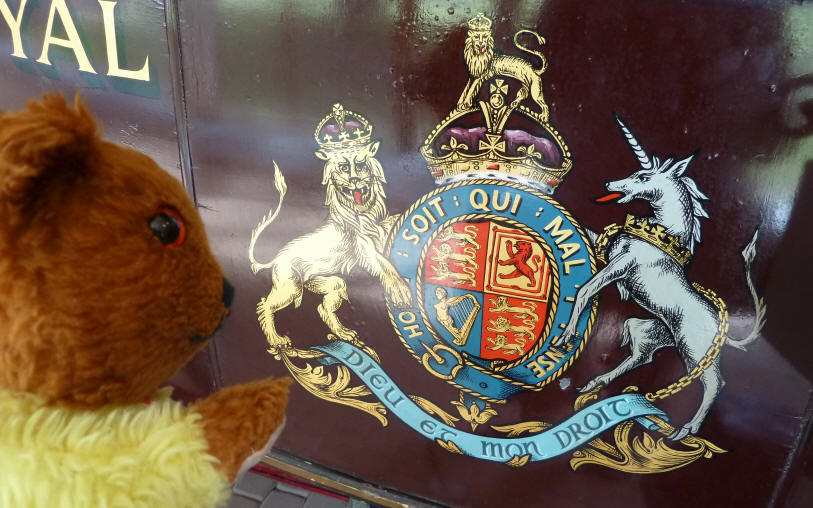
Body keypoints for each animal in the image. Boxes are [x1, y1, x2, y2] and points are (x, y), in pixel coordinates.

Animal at [249, 105, 412, 356]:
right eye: (343, 167)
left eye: (361, 164)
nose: (354, 181)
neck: (360, 212)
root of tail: (277, 258)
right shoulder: (366, 250)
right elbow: (386, 266)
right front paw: (401, 291)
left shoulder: (380, 231)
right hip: (291, 286)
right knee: (265, 305)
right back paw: (277, 340)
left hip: (327, 283)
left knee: (324, 308)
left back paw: (344, 334)